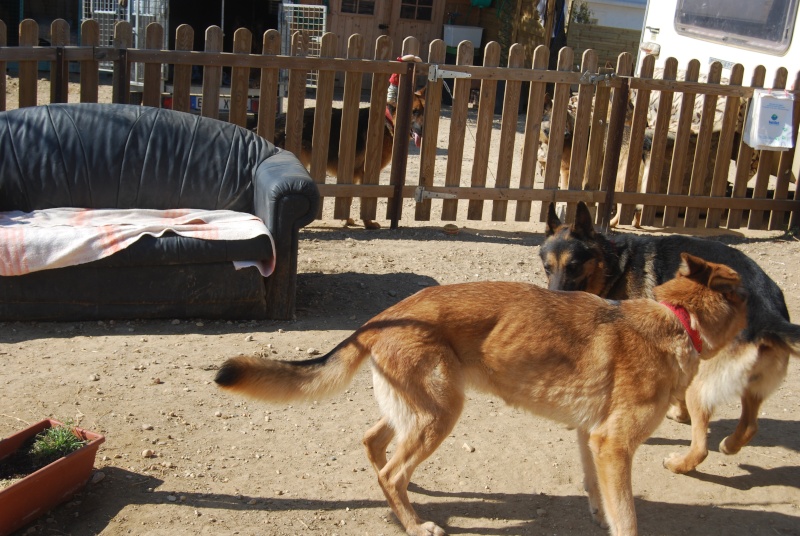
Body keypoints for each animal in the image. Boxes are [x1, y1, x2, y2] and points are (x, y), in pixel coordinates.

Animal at [216, 255, 748, 536]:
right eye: (748, 297)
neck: (676, 319)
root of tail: (381, 318)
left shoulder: (591, 438)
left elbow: (598, 491)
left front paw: (599, 515)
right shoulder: (613, 445)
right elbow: (629, 517)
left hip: (423, 409)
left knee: (375, 445)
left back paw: (410, 502)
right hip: (441, 413)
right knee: (391, 471)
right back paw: (414, 524)